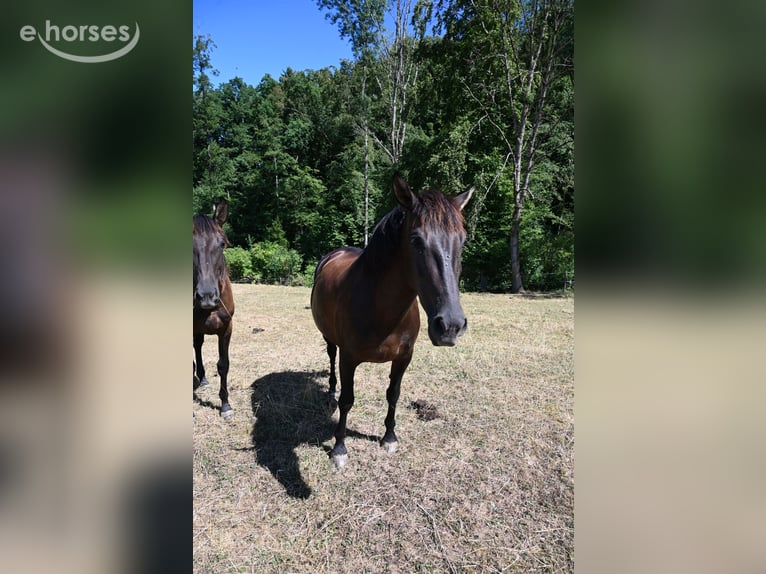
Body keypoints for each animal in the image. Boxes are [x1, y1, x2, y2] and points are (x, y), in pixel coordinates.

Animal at [311, 173, 474, 468]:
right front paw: (339, 448)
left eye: (463, 241)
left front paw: (389, 437)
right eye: (416, 240)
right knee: (331, 358)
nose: (450, 326)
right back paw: (330, 392)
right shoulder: (349, 359)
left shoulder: (404, 357)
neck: (382, 309)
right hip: (329, 339)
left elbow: (393, 394)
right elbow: (347, 400)